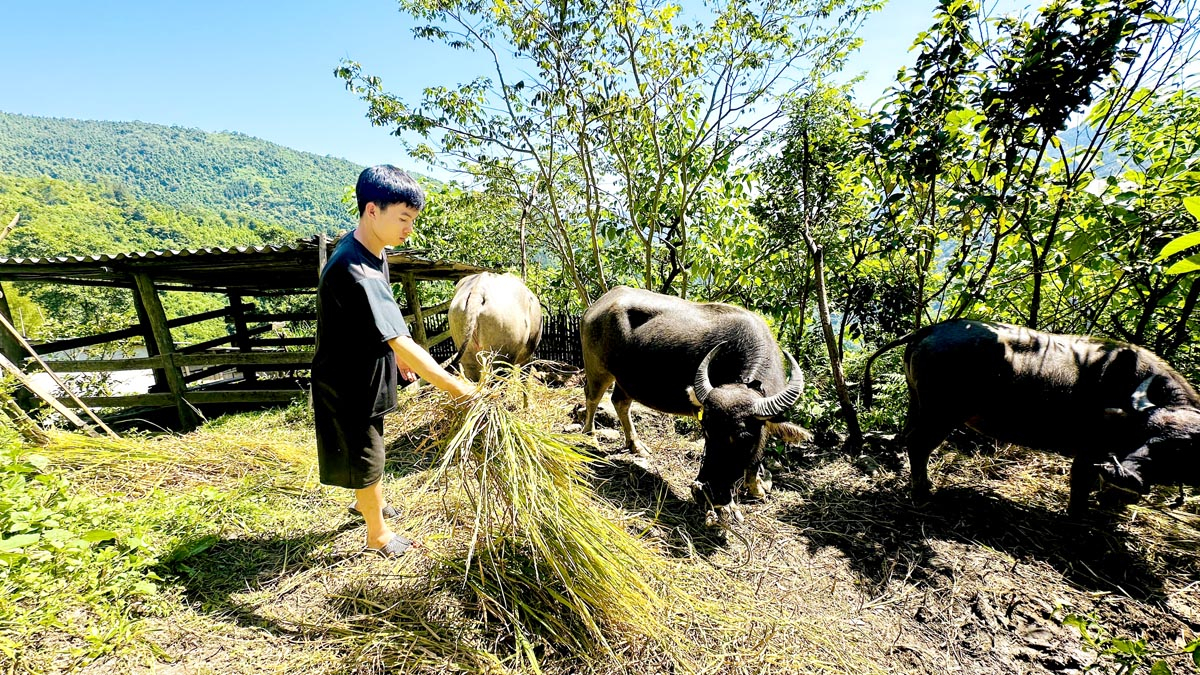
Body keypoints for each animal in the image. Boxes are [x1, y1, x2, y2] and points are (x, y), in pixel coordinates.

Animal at [578, 285, 811, 523]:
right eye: (706, 431)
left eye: (743, 438)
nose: (706, 492)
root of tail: (597, 305)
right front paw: (730, 506)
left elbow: (756, 458)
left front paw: (756, 488)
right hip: (597, 369)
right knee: (592, 397)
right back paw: (590, 437)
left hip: (626, 381)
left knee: (620, 403)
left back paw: (637, 446)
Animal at [864, 317, 1200, 511]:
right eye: (1147, 436)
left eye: (1181, 449)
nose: (1127, 475)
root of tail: (934, 327)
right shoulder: (1089, 449)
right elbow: (1080, 485)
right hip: (942, 413)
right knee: (919, 444)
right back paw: (923, 493)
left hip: (918, 403)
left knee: (908, 436)